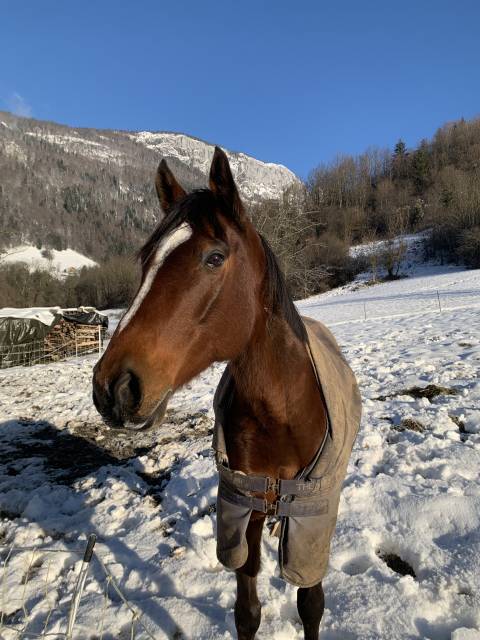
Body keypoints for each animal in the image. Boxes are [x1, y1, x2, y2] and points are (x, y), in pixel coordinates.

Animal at [92, 147, 361, 639]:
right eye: (145, 259)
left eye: (214, 257)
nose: (113, 387)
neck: (283, 412)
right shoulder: (240, 506)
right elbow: (247, 609)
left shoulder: (311, 519)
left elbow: (311, 603)